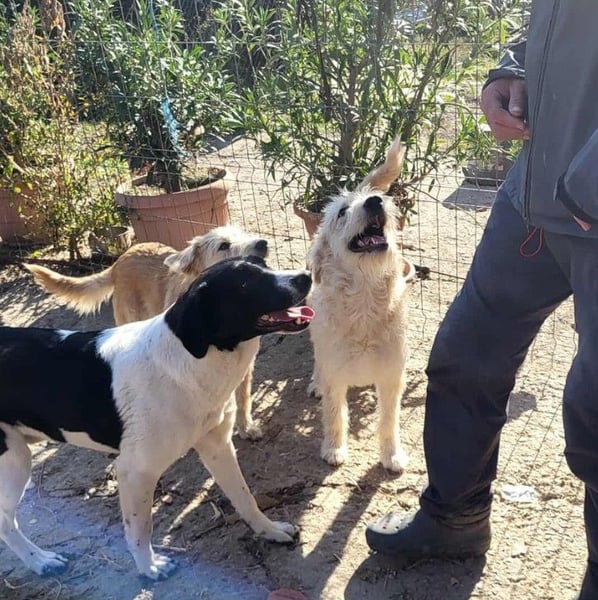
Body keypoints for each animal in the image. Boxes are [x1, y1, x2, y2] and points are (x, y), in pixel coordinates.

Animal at [0, 256, 314, 579]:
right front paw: (149, 566)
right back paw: (40, 560)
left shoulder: (218, 447)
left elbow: (244, 497)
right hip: (14, 461)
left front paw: (270, 530)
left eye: (263, 263)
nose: (307, 276)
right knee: (5, 522)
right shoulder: (135, 471)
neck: (192, 359)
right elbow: (140, 528)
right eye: (244, 283)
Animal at [25, 225, 269, 440]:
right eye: (223, 245)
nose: (262, 243)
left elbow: (242, 397)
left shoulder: (244, 363)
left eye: (243, 233)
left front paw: (246, 427)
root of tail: (120, 259)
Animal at [307, 138, 412, 473]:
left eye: (376, 200)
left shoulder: (391, 377)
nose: (375, 202)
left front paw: (391, 455)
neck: (364, 301)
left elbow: (389, 421)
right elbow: (335, 416)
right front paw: (334, 449)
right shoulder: (335, 375)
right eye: (342, 212)